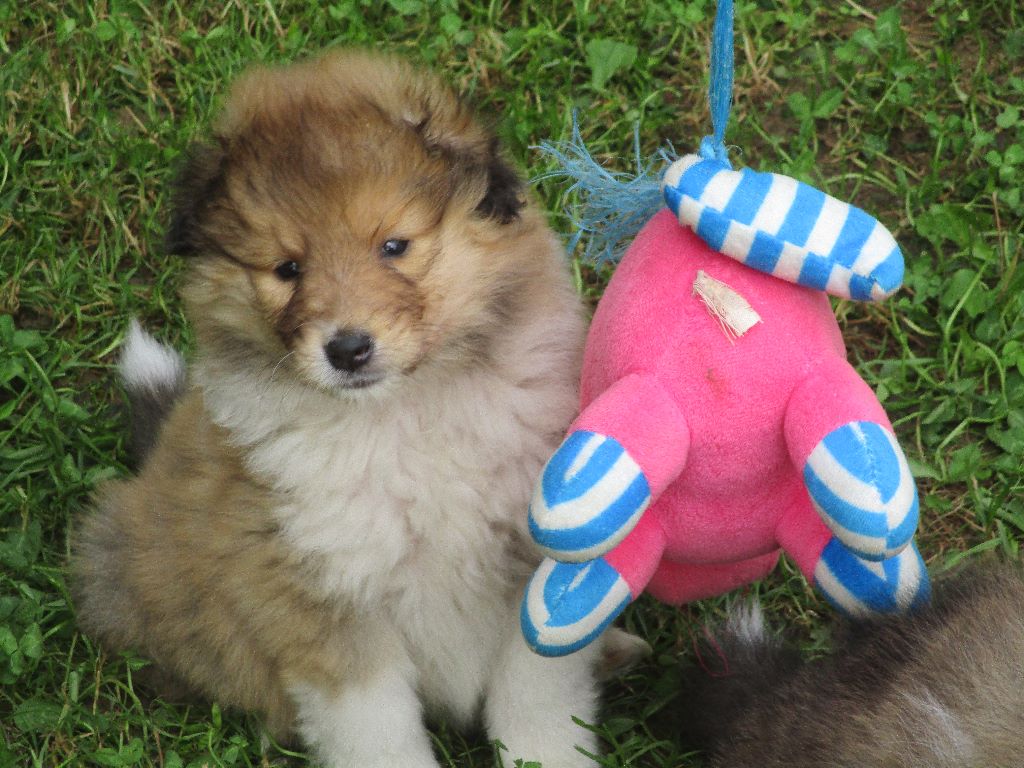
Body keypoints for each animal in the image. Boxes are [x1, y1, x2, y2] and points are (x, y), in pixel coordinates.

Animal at [71, 49, 646, 768]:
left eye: (393, 246)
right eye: (287, 268)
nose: (347, 349)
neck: (404, 415)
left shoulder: (536, 565)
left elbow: (537, 704)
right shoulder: (321, 598)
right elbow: (377, 730)